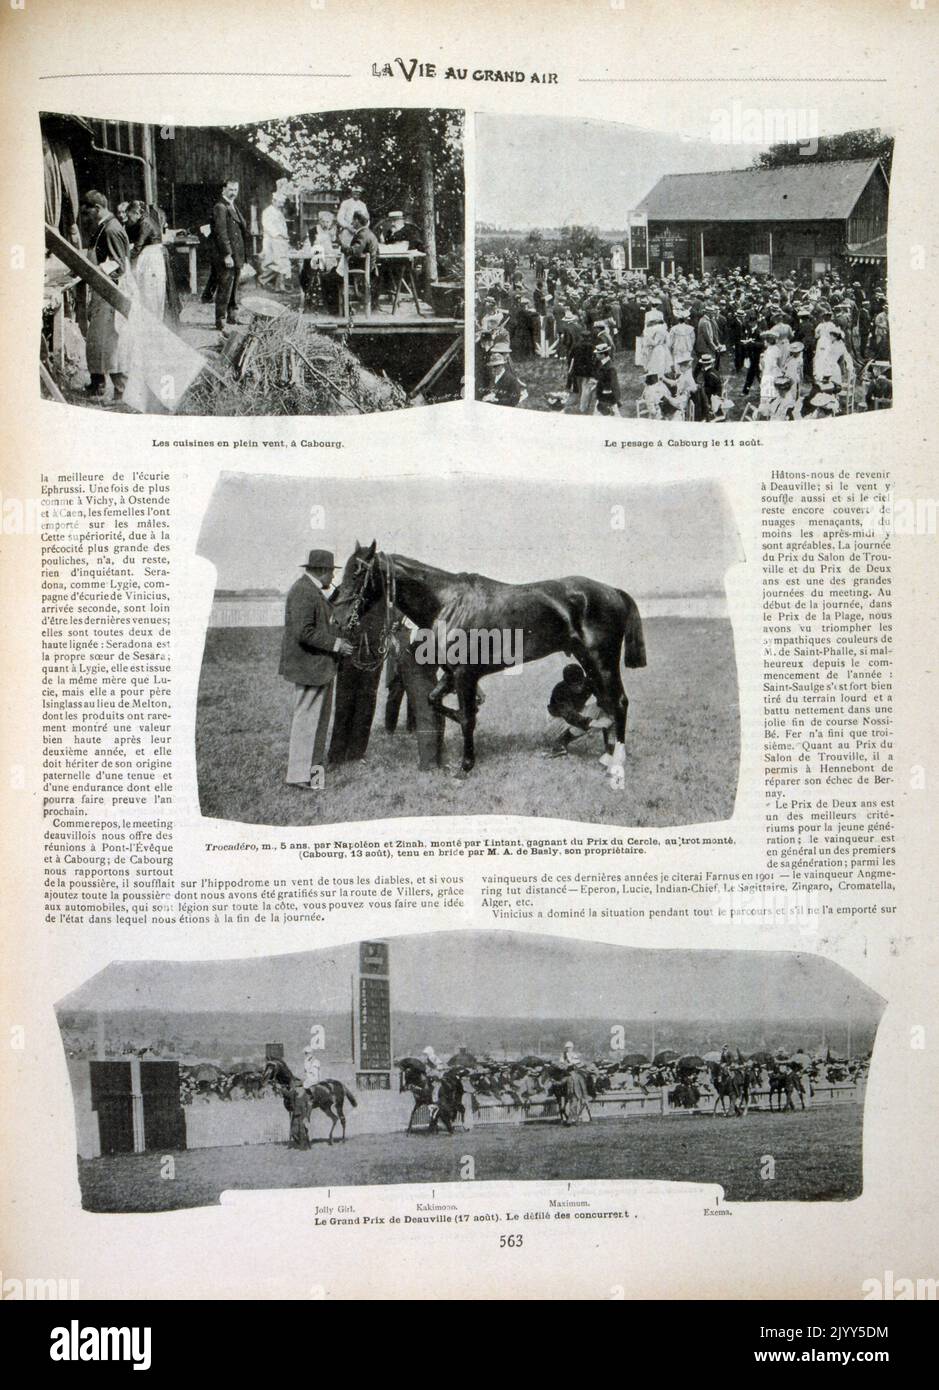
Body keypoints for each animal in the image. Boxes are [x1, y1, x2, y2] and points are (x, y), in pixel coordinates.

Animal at [333, 539, 650, 778]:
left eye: (358, 572)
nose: (338, 618)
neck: (448, 603)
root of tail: (613, 592)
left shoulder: (464, 674)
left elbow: (466, 719)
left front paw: (465, 766)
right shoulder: (452, 674)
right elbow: (437, 702)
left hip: (602, 660)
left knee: (619, 702)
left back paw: (617, 762)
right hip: (590, 661)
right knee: (606, 703)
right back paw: (606, 754)